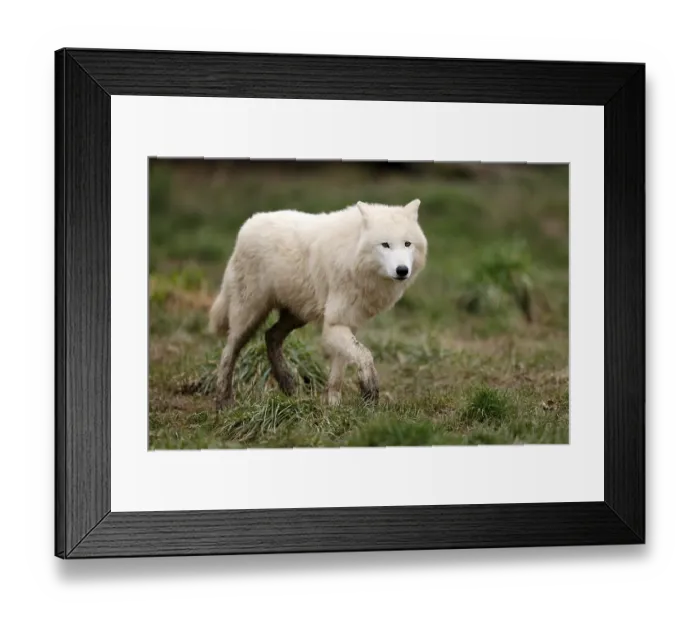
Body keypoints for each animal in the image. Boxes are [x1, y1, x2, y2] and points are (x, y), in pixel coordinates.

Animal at [209, 199, 428, 409]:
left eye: (407, 244)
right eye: (385, 245)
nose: (402, 270)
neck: (353, 255)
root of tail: (247, 225)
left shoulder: (348, 323)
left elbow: (339, 371)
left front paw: (333, 404)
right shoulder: (332, 324)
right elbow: (365, 355)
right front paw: (370, 392)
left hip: (297, 316)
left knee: (270, 336)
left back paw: (288, 385)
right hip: (250, 316)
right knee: (229, 352)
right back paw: (224, 402)